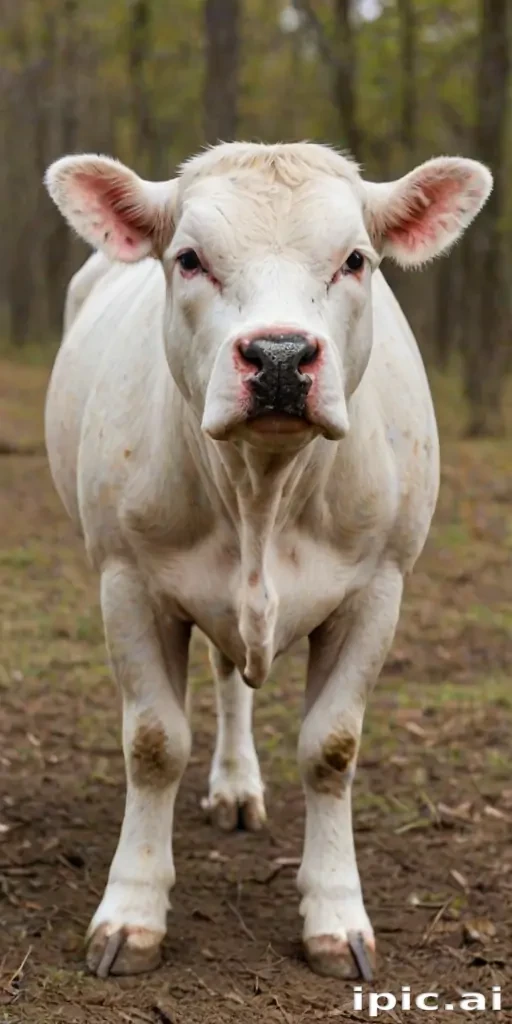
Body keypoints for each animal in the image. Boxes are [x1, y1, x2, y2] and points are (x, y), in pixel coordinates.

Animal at [44, 141, 492, 981]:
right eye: (189, 259)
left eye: (355, 259)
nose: (280, 356)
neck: (263, 488)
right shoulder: (128, 580)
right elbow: (154, 745)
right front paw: (133, 912)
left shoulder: (379, 588)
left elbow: (331, 749)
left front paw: (336, 916)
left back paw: (238, 788)